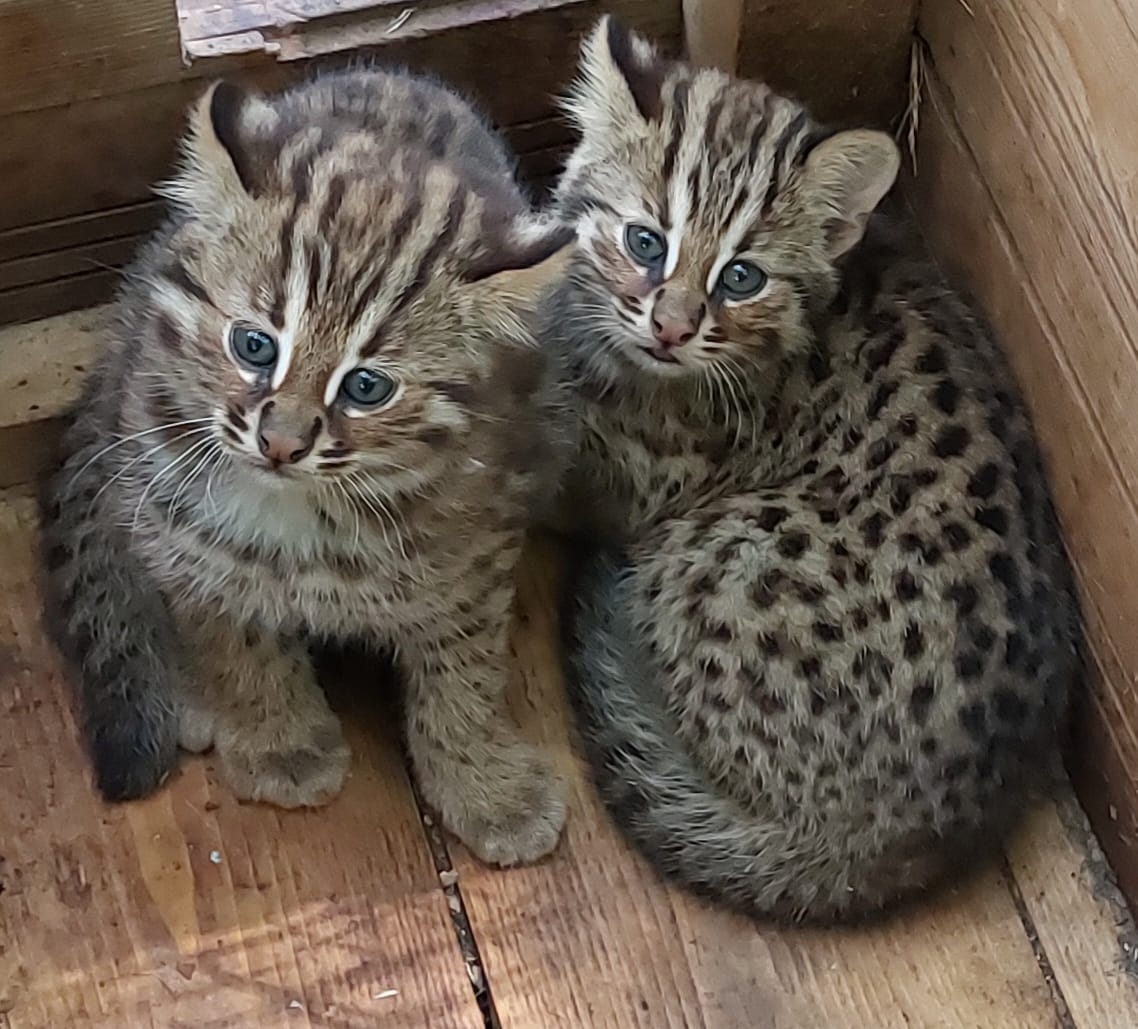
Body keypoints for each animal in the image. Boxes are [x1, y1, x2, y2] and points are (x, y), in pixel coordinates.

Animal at [41, 66, 573, 869]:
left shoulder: (475, 551)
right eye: (254, 345)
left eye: (366, 387)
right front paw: (277, 739)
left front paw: (483, 782)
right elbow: (232, 633)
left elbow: (464, 671)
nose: (281, 442)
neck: (305, 509)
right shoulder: (181, 527)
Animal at [546, 14, 1078, 915]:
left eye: (741, 277)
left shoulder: (646, 474)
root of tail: (906, 830)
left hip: (713, 554)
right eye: (645, 242)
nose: (672, 326)